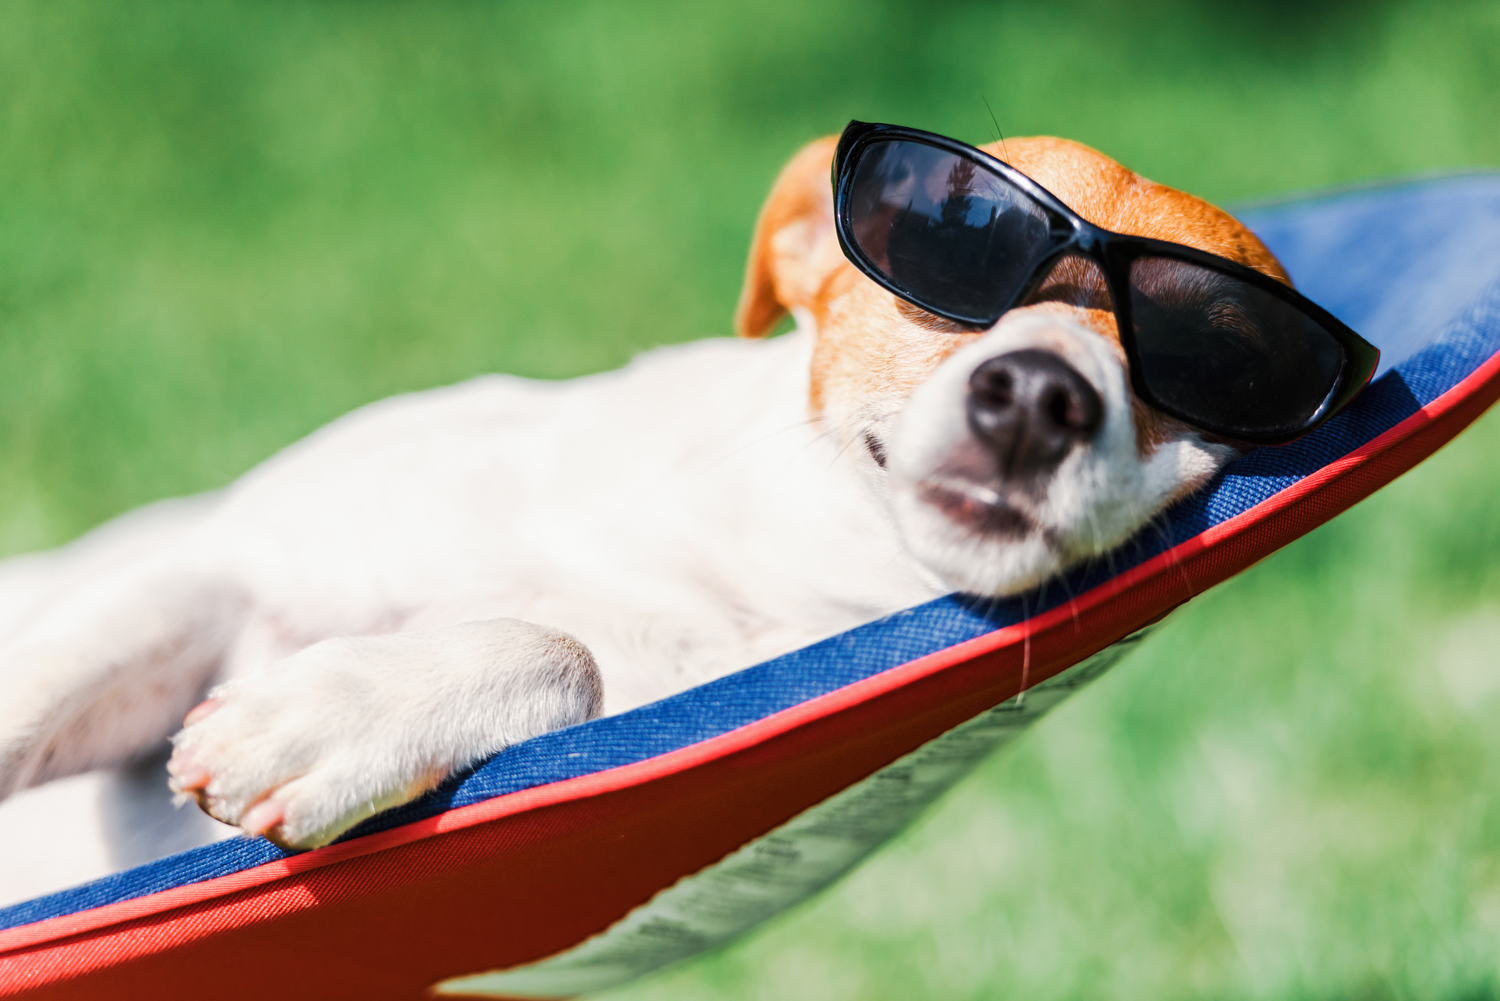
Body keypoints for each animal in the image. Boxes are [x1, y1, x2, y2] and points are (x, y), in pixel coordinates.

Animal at [0, 129, 1290, 906]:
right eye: (949, 238)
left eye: (1223, 344)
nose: (1034, 394)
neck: (729, 561)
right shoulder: (215, 563)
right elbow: (36, 686)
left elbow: (558, 648)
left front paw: (342, 709)